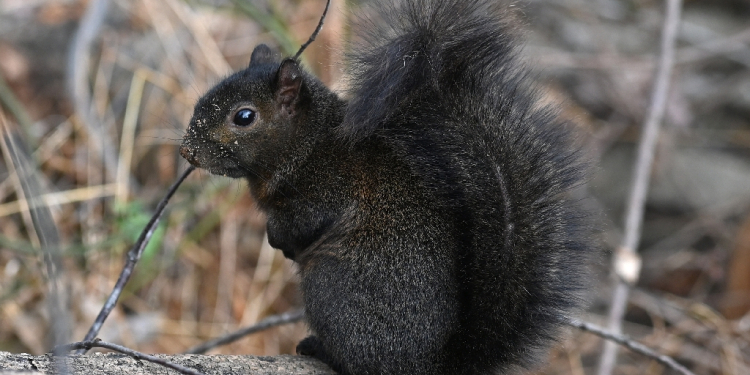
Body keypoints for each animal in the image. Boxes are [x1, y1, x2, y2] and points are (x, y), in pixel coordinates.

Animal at [181, 0, 592, 374]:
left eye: (244, 116)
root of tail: (439, 365)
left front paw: (280, 241)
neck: (306, 144)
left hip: (331, 288)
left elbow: (301, 224)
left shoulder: (326, 192)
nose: (187, 151)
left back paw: (320, 349)